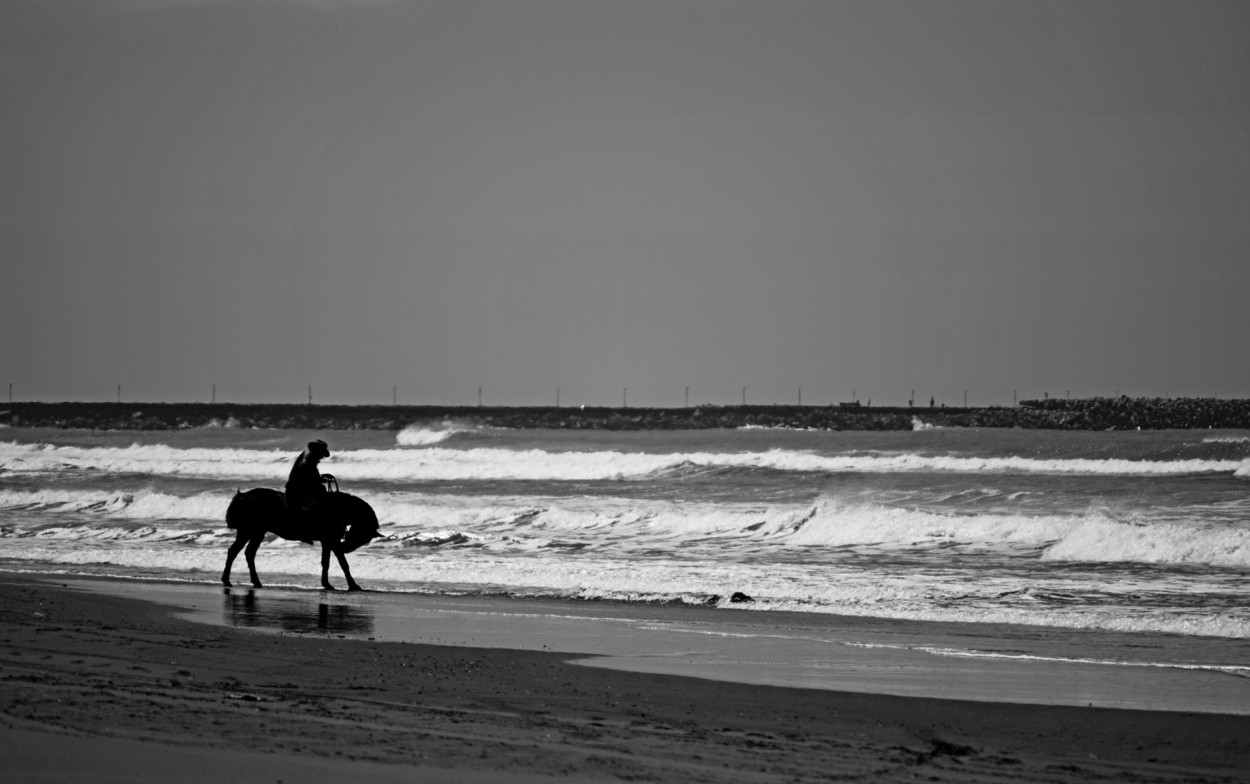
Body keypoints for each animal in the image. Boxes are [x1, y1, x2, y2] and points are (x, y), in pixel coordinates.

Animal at [222, 487, 380, 592]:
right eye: (362, 536)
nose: (345, 548)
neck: (338, 509)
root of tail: (242, 497)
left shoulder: (327, 541)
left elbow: (326, 562)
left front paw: (327, 584)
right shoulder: (332, 541)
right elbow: (343, 564)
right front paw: (353, 585)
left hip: (256, 533)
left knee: (246, 553)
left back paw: (253, 581)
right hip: (248, 531)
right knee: (236, 552)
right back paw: (228, 581)